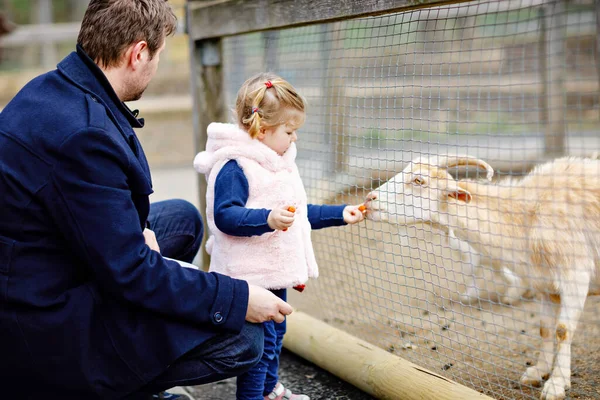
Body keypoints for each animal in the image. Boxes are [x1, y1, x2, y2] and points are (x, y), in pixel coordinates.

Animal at [364, 155, 600, 398]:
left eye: (419, 180)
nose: (369, 199)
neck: (528, 214)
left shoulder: (575, 277)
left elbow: (562, 331)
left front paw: (556, 384)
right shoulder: (544, 286)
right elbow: (545, 328)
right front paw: (537, 371)